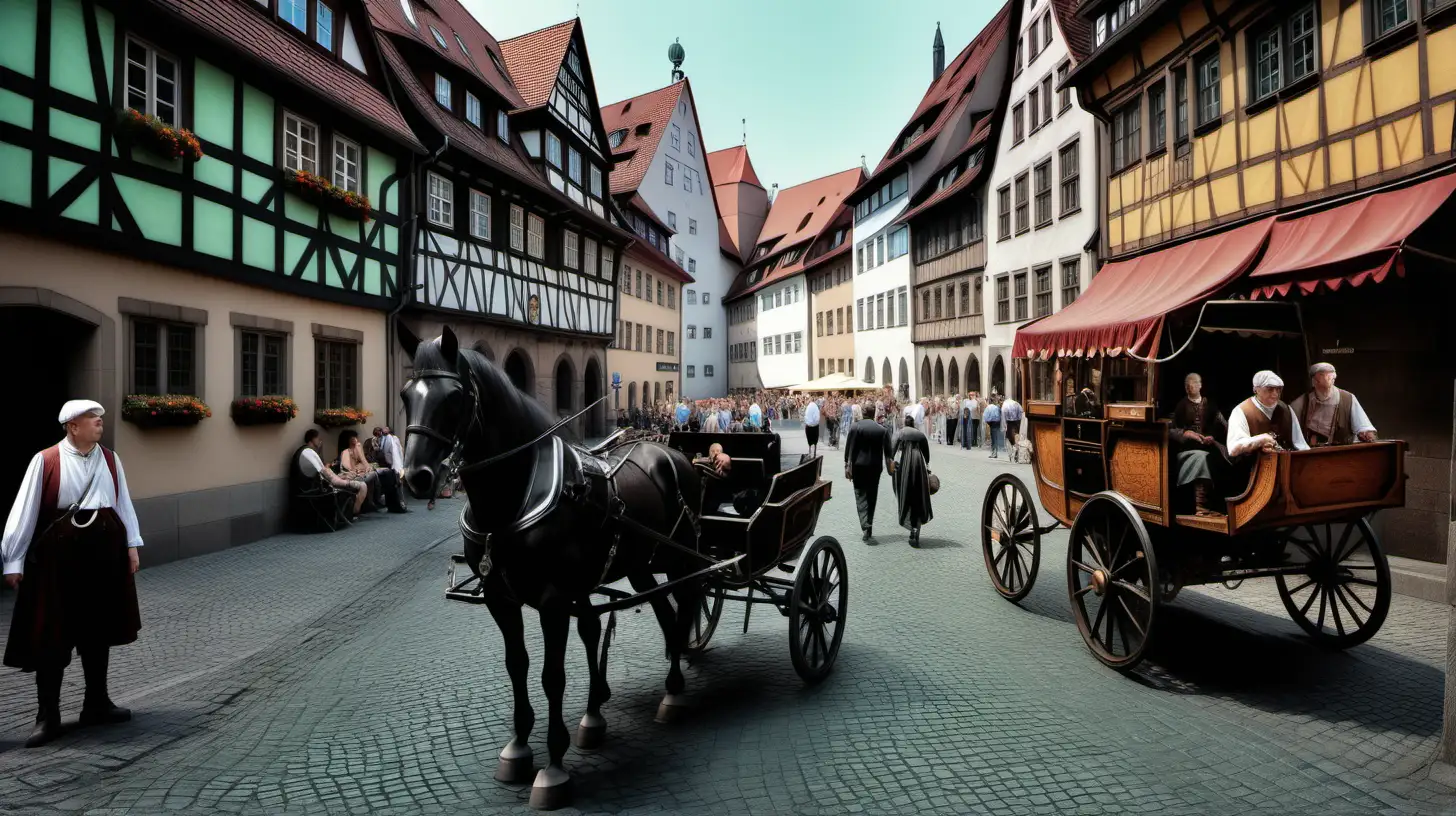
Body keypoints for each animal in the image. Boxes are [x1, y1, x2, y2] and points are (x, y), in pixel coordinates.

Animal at [398, 324, 704, 810]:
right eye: (407, 394)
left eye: (454, 397)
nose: (416, 477)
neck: (515, 493)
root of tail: (671, 453)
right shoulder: (501, 600)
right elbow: (518, 665)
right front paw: (520, 746)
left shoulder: (554, 601)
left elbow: (552, 676)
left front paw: (555, 766)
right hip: (639, 564)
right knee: (666, 614)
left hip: (680, 558)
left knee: (687, 602)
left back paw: (674, 694)